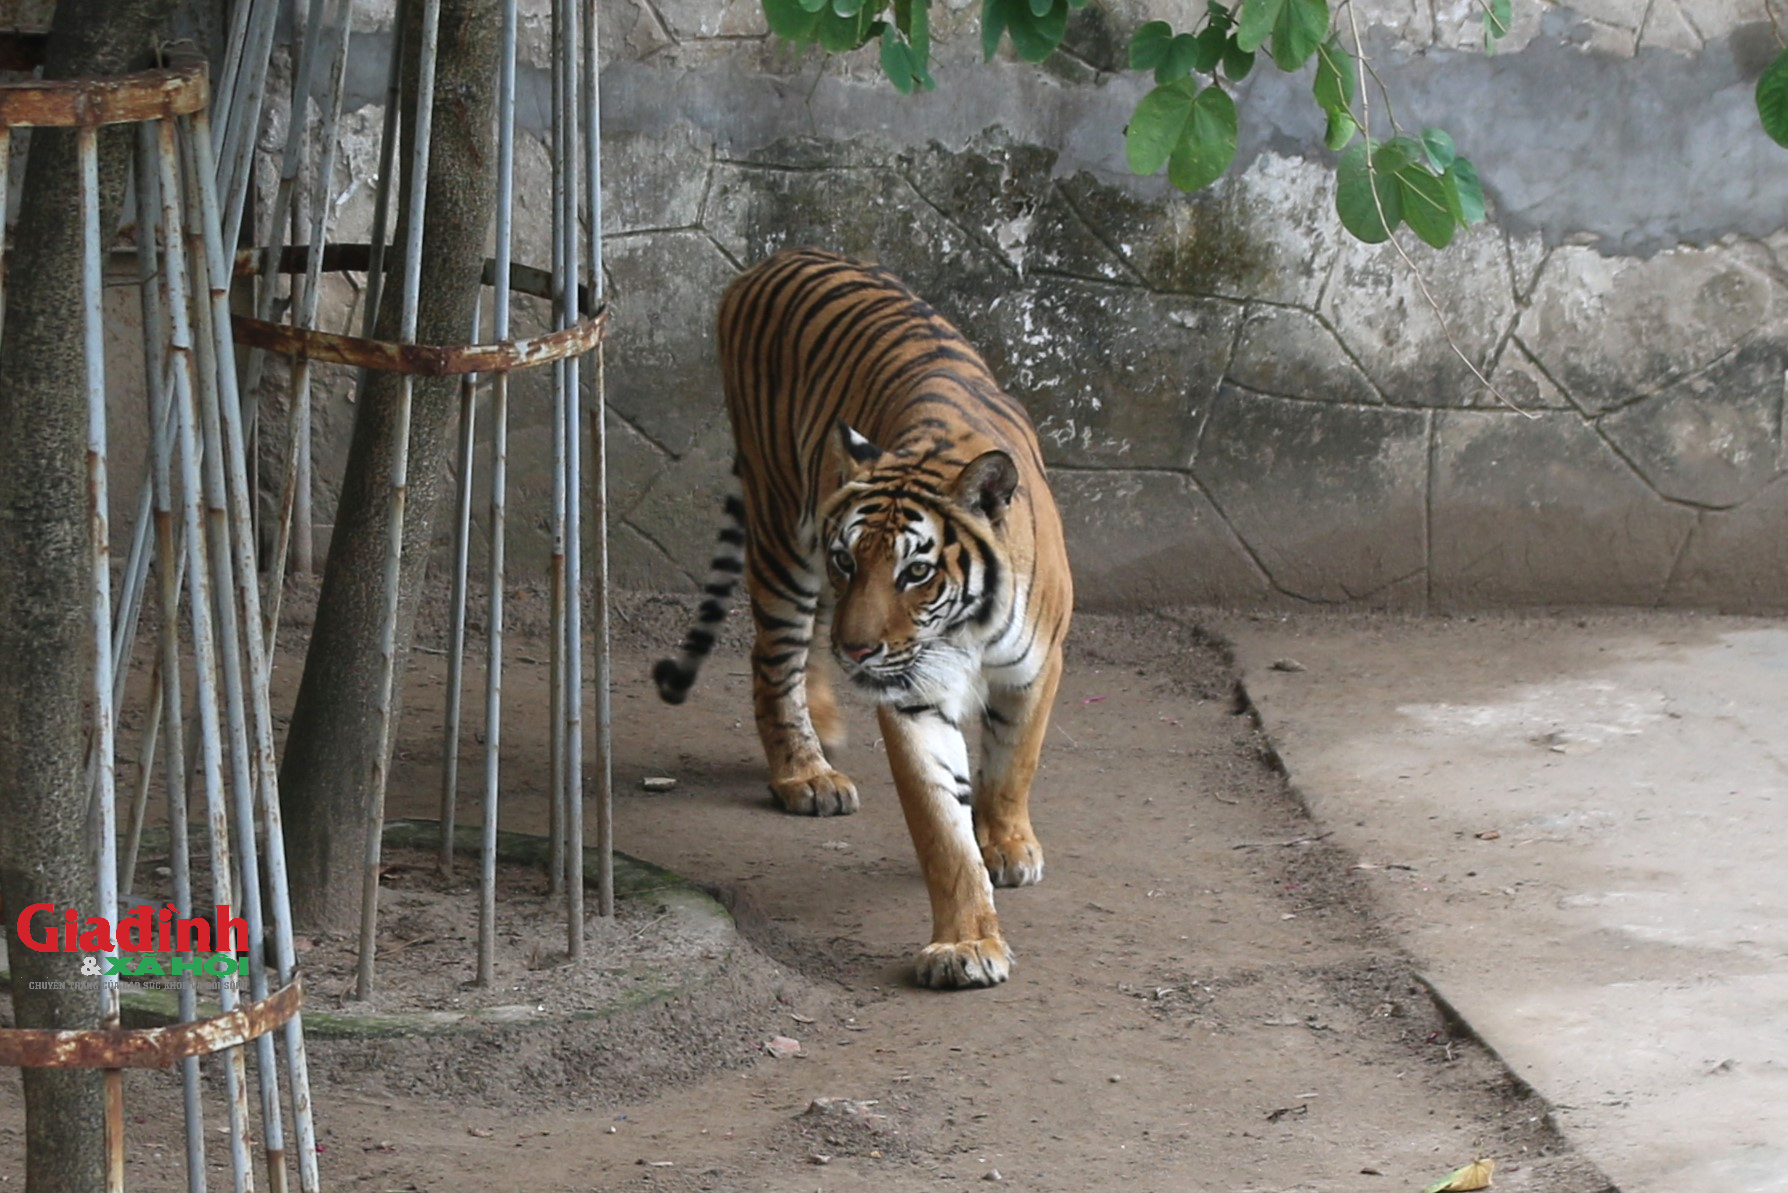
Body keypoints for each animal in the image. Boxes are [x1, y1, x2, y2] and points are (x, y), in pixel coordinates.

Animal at [657, 250, 1072, 987]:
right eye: (850, 559)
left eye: (916, 572)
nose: (859, 652)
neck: (963, 630)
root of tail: (770, 261)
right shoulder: (913, 692)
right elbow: (939, 823)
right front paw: (966, 944)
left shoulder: (1037, 667)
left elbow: (1012, 765)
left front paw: (1006, 845)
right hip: (781, 527)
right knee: (775, 658)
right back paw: (806, 773)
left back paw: (824, 720)